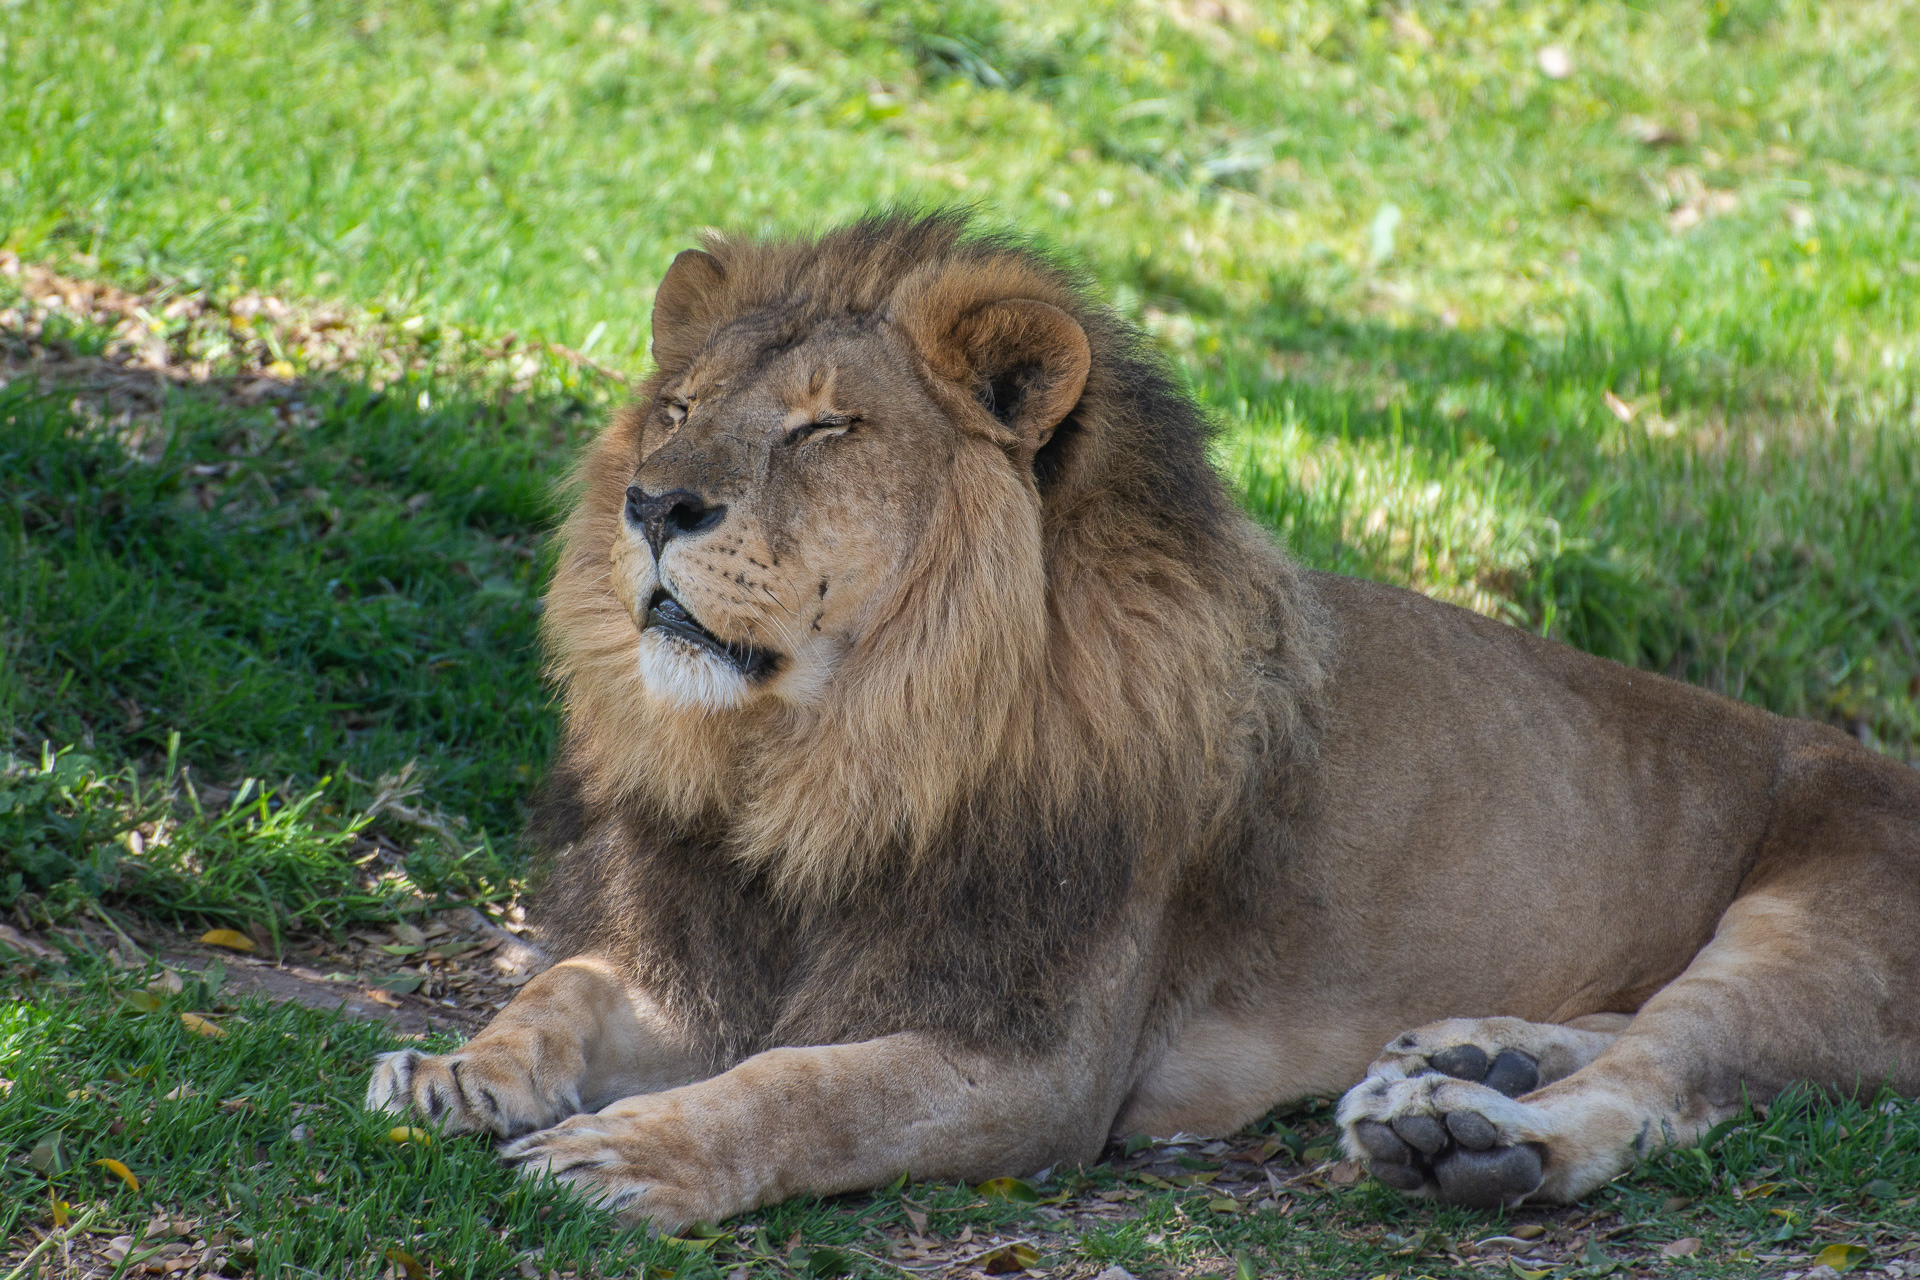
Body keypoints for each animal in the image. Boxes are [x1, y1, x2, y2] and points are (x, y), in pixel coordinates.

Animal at [366, 212, 1920, 1225]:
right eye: (678, 408)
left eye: (825, 429)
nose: (653, 503)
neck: (827, 757)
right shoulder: (706, 958)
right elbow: (563, 990)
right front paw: (457, 1073)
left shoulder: (1035, 1062)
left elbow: (803, 1091)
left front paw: (620, 1158)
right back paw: (1466, 1059)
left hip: (1819, 931)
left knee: (1672, 1075)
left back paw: (1473, 1139)